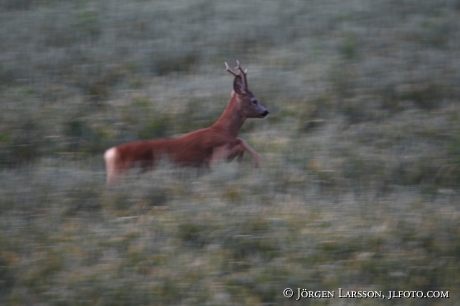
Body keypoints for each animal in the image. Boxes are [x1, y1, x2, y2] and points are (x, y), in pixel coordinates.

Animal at [103, 60, 270, 184]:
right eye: (254, 100)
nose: (266, 111)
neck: (224, 130)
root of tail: (111, 154)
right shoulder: (215, 157)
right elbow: (241, 142)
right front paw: (257, 162)